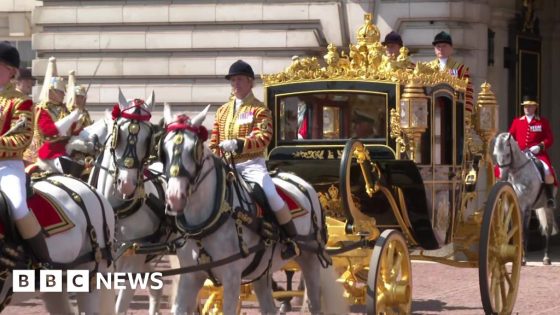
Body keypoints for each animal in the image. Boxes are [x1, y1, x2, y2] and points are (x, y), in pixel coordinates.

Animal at [67, 90, 166, 314]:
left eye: (148, 138)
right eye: (118, 133)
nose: (126, 184)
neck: (117, 212)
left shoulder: (131, 264)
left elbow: (118, 307)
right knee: (157, 290)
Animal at [161, 105, 346, 315]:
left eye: (195, 150)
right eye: (164, 150)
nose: (175, 197)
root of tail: (302, 182)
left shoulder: (232, 278)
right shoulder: (190, 277)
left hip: (310, 258)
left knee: (314, 303)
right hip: (263, 270)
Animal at [494, 132, 556, 266]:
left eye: (507, 154)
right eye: (495, 155)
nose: (502, 177)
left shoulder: (526, 208)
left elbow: (524, 231)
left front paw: (522, 259)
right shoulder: (511, 206)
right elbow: (511, 229)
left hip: (547, 207)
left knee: (548, 229)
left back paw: (546, 258)